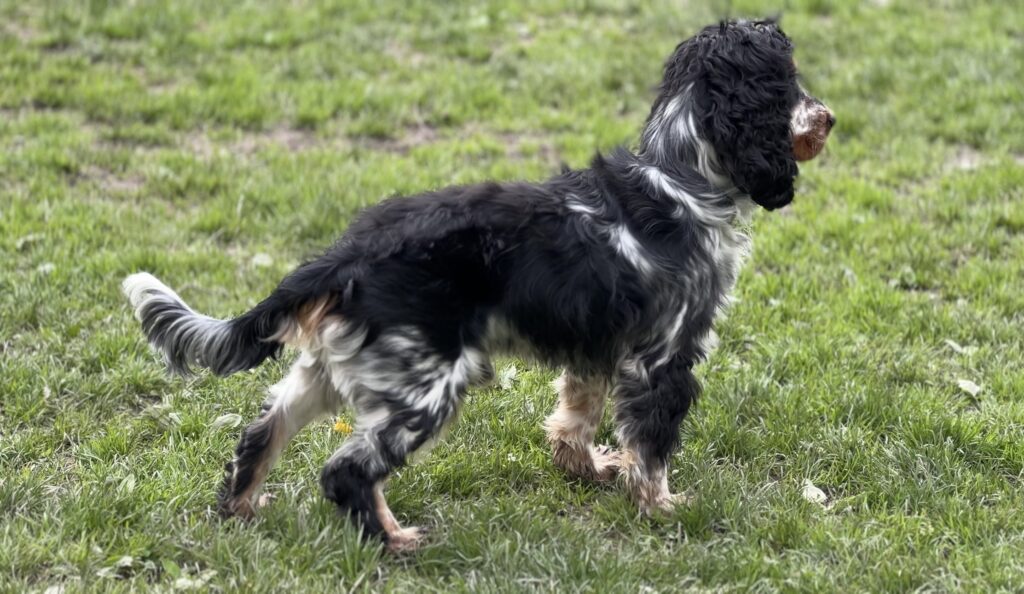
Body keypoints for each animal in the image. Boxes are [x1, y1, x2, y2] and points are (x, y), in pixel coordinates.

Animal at [123, 20, 835, 553]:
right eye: (788, 84)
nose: (828, 118)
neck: (681, 177)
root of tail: (346, 256)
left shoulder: (595, 346)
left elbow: (575, 416)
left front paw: (589, 468)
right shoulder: (664, 356)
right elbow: (652, 443)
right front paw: (662, 506)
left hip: (331, 370)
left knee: (260, 433)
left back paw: (243, 508)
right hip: (427, 384)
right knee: (347, 469)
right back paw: (395, 542)